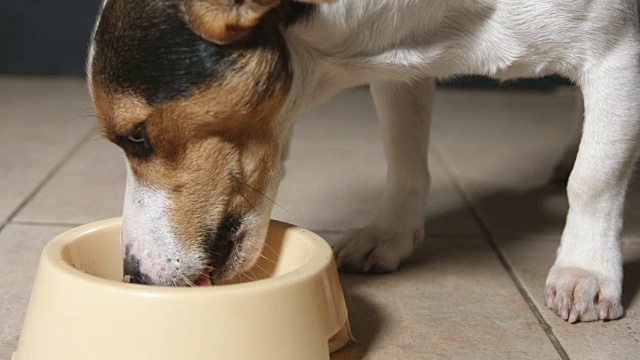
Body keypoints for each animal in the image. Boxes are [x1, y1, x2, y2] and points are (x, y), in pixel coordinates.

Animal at [87, 0, 640, 324]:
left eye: (136, 136)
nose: (133, 275)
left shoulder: (618, 51)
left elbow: (594, 179)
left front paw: (586, 270)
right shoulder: (406, 68)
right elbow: (405, 160)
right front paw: (389, 235)